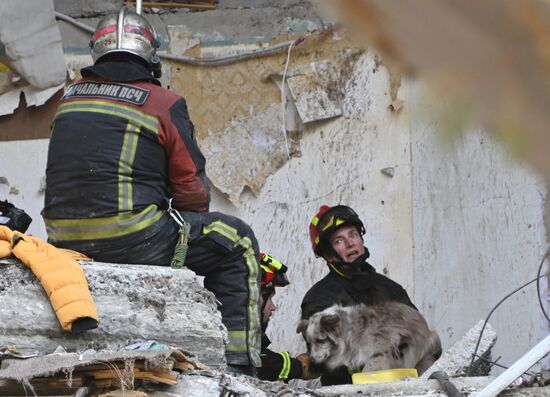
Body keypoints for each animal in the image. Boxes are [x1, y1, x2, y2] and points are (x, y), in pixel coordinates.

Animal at [298, 302, 444, 372]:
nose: (312, 359)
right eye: (309, 343)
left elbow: (370, 368)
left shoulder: (380, 349)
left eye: (320, 340)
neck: (349, 331)